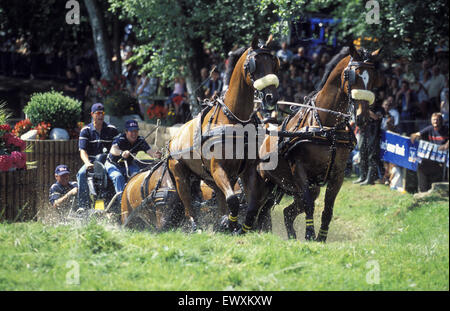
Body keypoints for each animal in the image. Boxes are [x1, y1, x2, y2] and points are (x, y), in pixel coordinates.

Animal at [167, 36, 280, 232]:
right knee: (188, 202)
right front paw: (230, 223)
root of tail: (173, 139)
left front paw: (243, 226)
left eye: (273, 63)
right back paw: (195, 225)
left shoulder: (247, 170)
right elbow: (233, 200)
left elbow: (252, 204)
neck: (234, 119)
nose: (270, 97)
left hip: (210, 178)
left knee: (219, 197)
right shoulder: (218, 167)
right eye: (254, 64)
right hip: (180, 175)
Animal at [239, 45, 384, 243]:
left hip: (283, 187)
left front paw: (320, 238)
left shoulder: (337, 174)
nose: (362, 117)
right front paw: (309, 234)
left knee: (283, 212)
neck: (326, 127)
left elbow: (328, 209)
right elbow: (309, 204)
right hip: (260, 183)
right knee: (252, 210)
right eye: (353, 75)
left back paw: (290, 237)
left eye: (374, 78)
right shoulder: (300, 169)